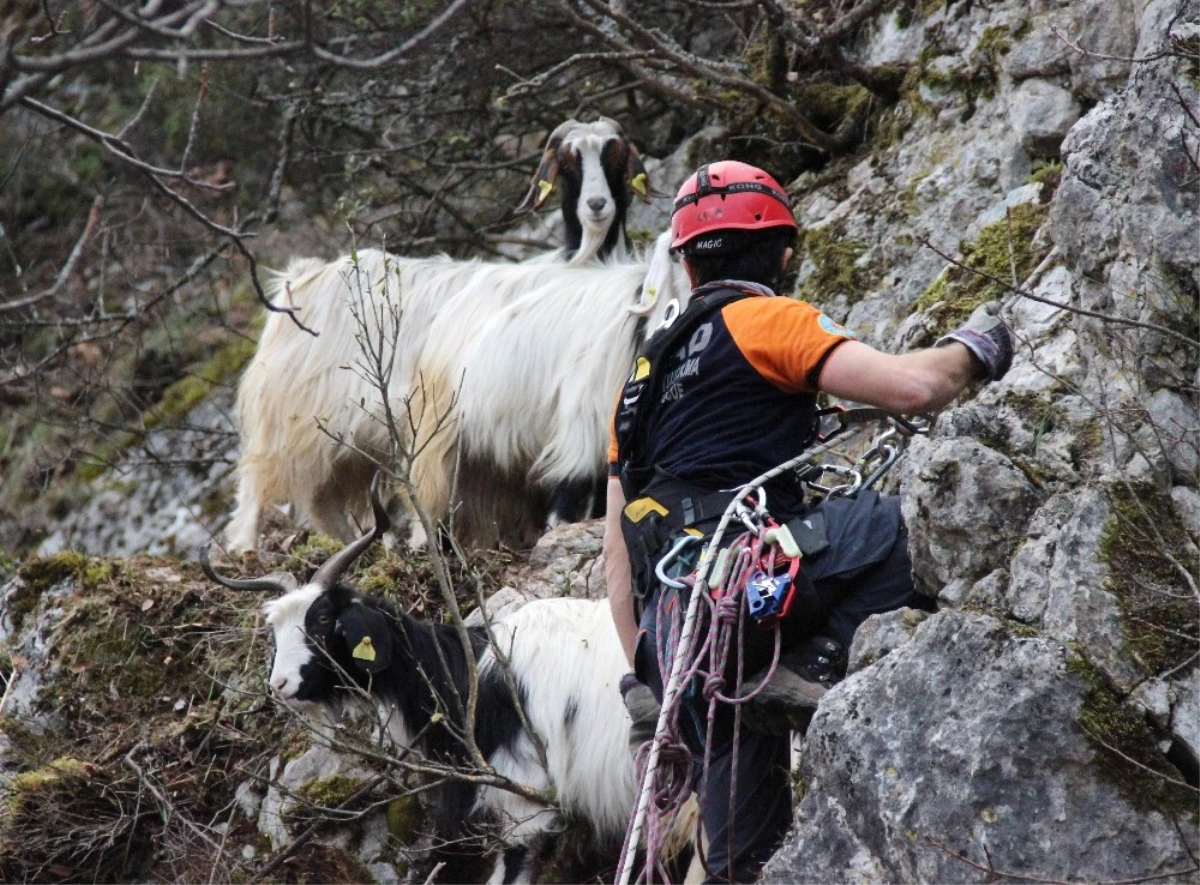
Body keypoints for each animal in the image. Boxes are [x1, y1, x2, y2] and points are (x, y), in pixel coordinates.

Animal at [225, 113, 657, 549]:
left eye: (616, 160)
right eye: (568, 166)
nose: (597, 206)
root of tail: (300, 277)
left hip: (344, 443)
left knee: (323, 503)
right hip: (292, 422)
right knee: (257, 488)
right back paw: (245, 548)